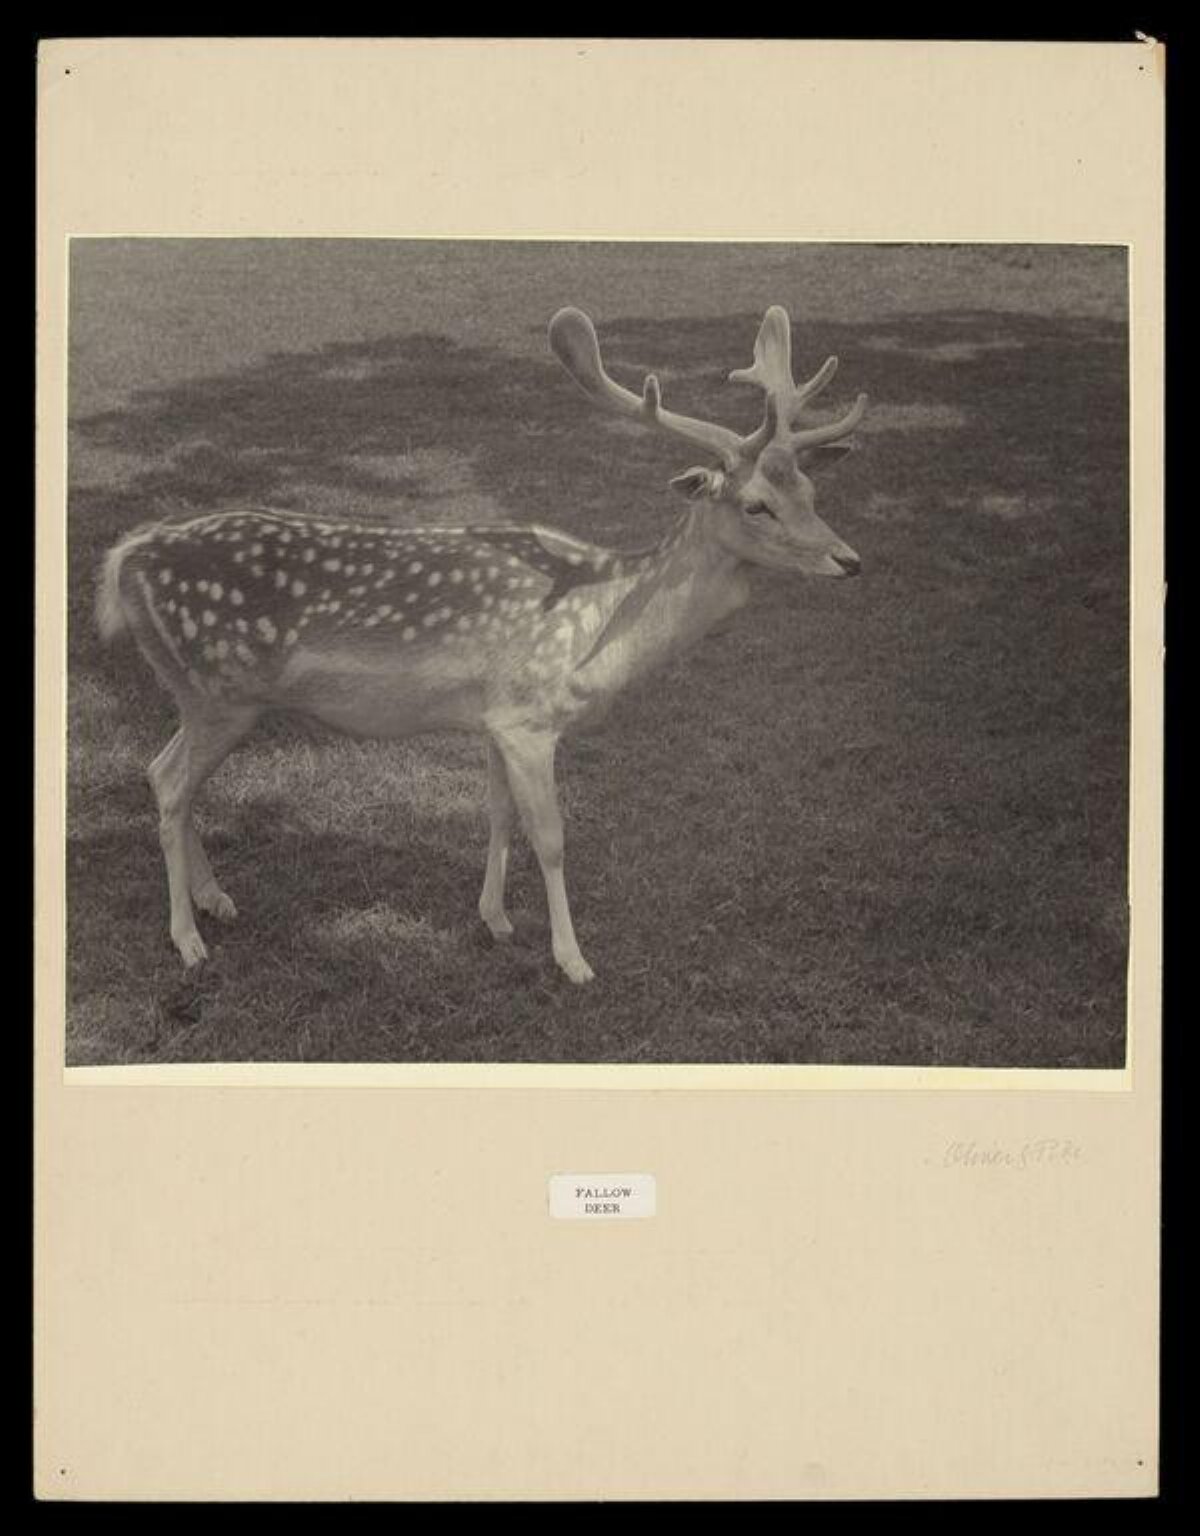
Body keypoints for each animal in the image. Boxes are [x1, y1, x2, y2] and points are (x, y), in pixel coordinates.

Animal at [95, 305, 866, 984]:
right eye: (756, 505)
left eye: (812, 490)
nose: (850, 560)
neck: (601, 628)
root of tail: (123, 560)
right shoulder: (529, 716)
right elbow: (551, 837)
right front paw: (573, 960)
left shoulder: (494, 715)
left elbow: (499, 815)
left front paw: (494, 918)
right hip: (217, 690)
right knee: (171, 782)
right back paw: (187, 939)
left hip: (205, 695)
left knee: (164, 774)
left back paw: (214, 900)